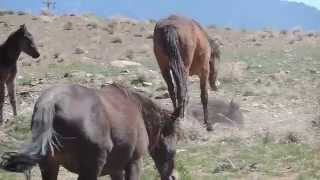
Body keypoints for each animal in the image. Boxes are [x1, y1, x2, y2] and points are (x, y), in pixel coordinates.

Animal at [0, 83, 178, 180]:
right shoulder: (134, 163)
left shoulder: (116, 170)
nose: (172, 176)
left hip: (49, 165)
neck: (137, 107)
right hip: (91, 167)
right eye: (173, 150)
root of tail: (51, 101)